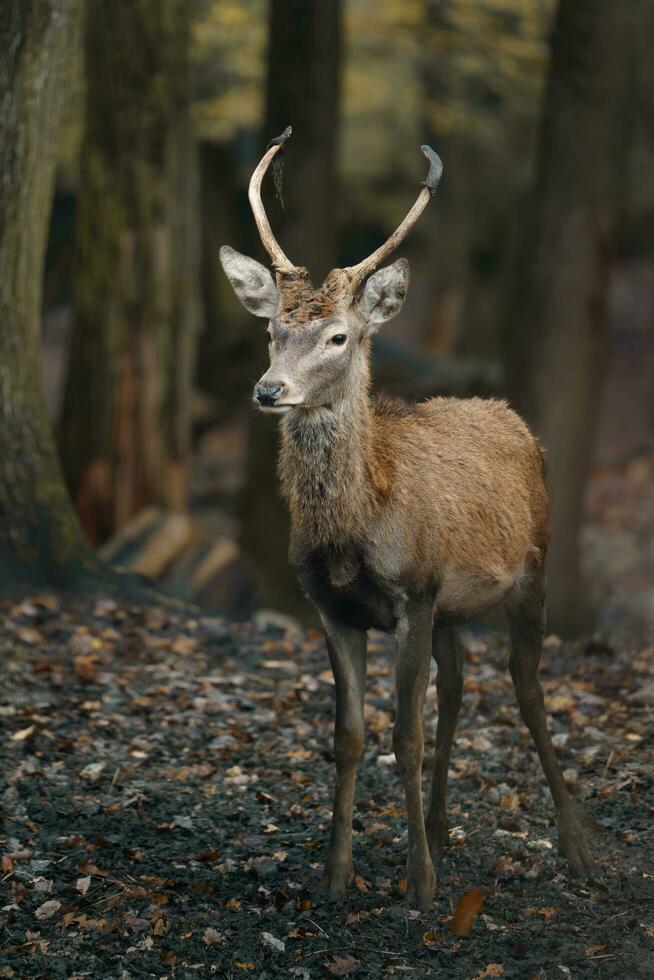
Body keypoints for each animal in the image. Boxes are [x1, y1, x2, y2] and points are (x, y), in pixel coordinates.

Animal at [219, 128, 596, 912]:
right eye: (271, 329)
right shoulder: (332, 607)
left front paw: (417, 883)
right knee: (455, 691)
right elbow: (351, 736)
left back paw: (575, 851)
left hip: (533, 569)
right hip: (455, 607)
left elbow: (406, 736)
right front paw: (336, 873)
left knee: (527, 691)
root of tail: (514, 419)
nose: (269, 390)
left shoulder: (413, 593)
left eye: (338, 337)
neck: (354, 531)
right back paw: (446, 829)